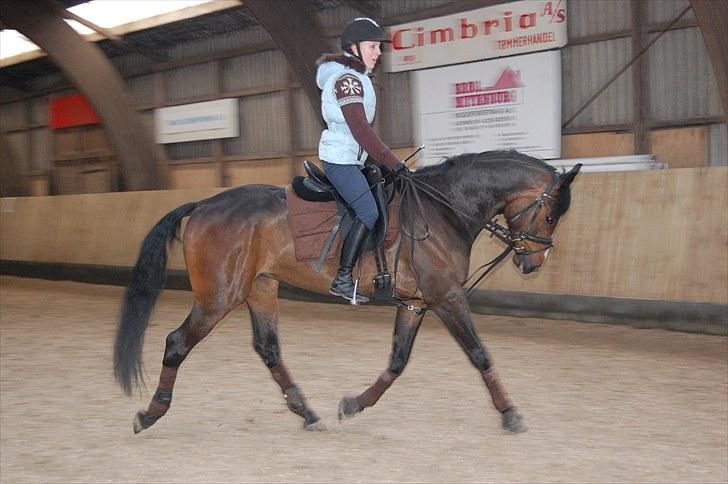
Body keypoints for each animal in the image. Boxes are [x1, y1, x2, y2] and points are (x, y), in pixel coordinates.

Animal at [112, 150, 580, 434]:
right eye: (551, 215)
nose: (531, 264)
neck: (443, 208)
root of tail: (203, 204)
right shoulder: (446, 296)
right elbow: (479, 354)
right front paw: (511, 413)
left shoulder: (416, 303)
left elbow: (397, 360)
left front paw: (355, 403)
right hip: (218, 298)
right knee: (176, 343)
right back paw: (150, 413)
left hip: (260, 288)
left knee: (268, 348)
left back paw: (307, 412)